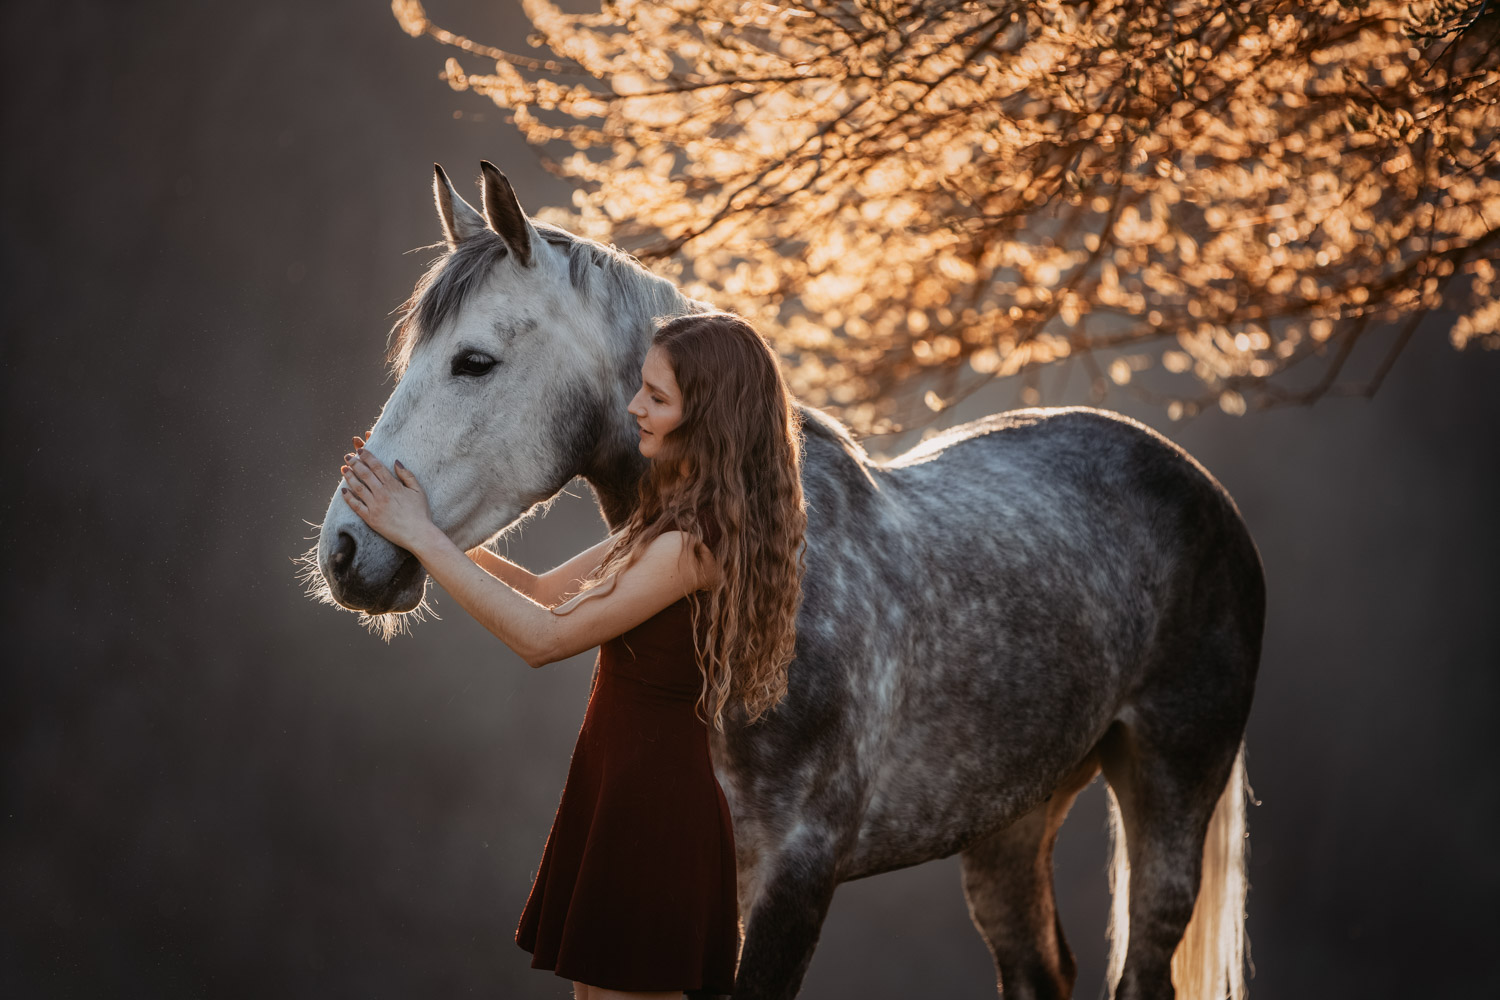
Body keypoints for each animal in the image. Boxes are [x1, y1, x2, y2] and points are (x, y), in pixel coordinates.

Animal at [310, 164, 1260, 1000]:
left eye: (474, 361)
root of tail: (1201, 489)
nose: (346, 553)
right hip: (1012, 823)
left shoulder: (796, 874)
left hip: (1171, 785)